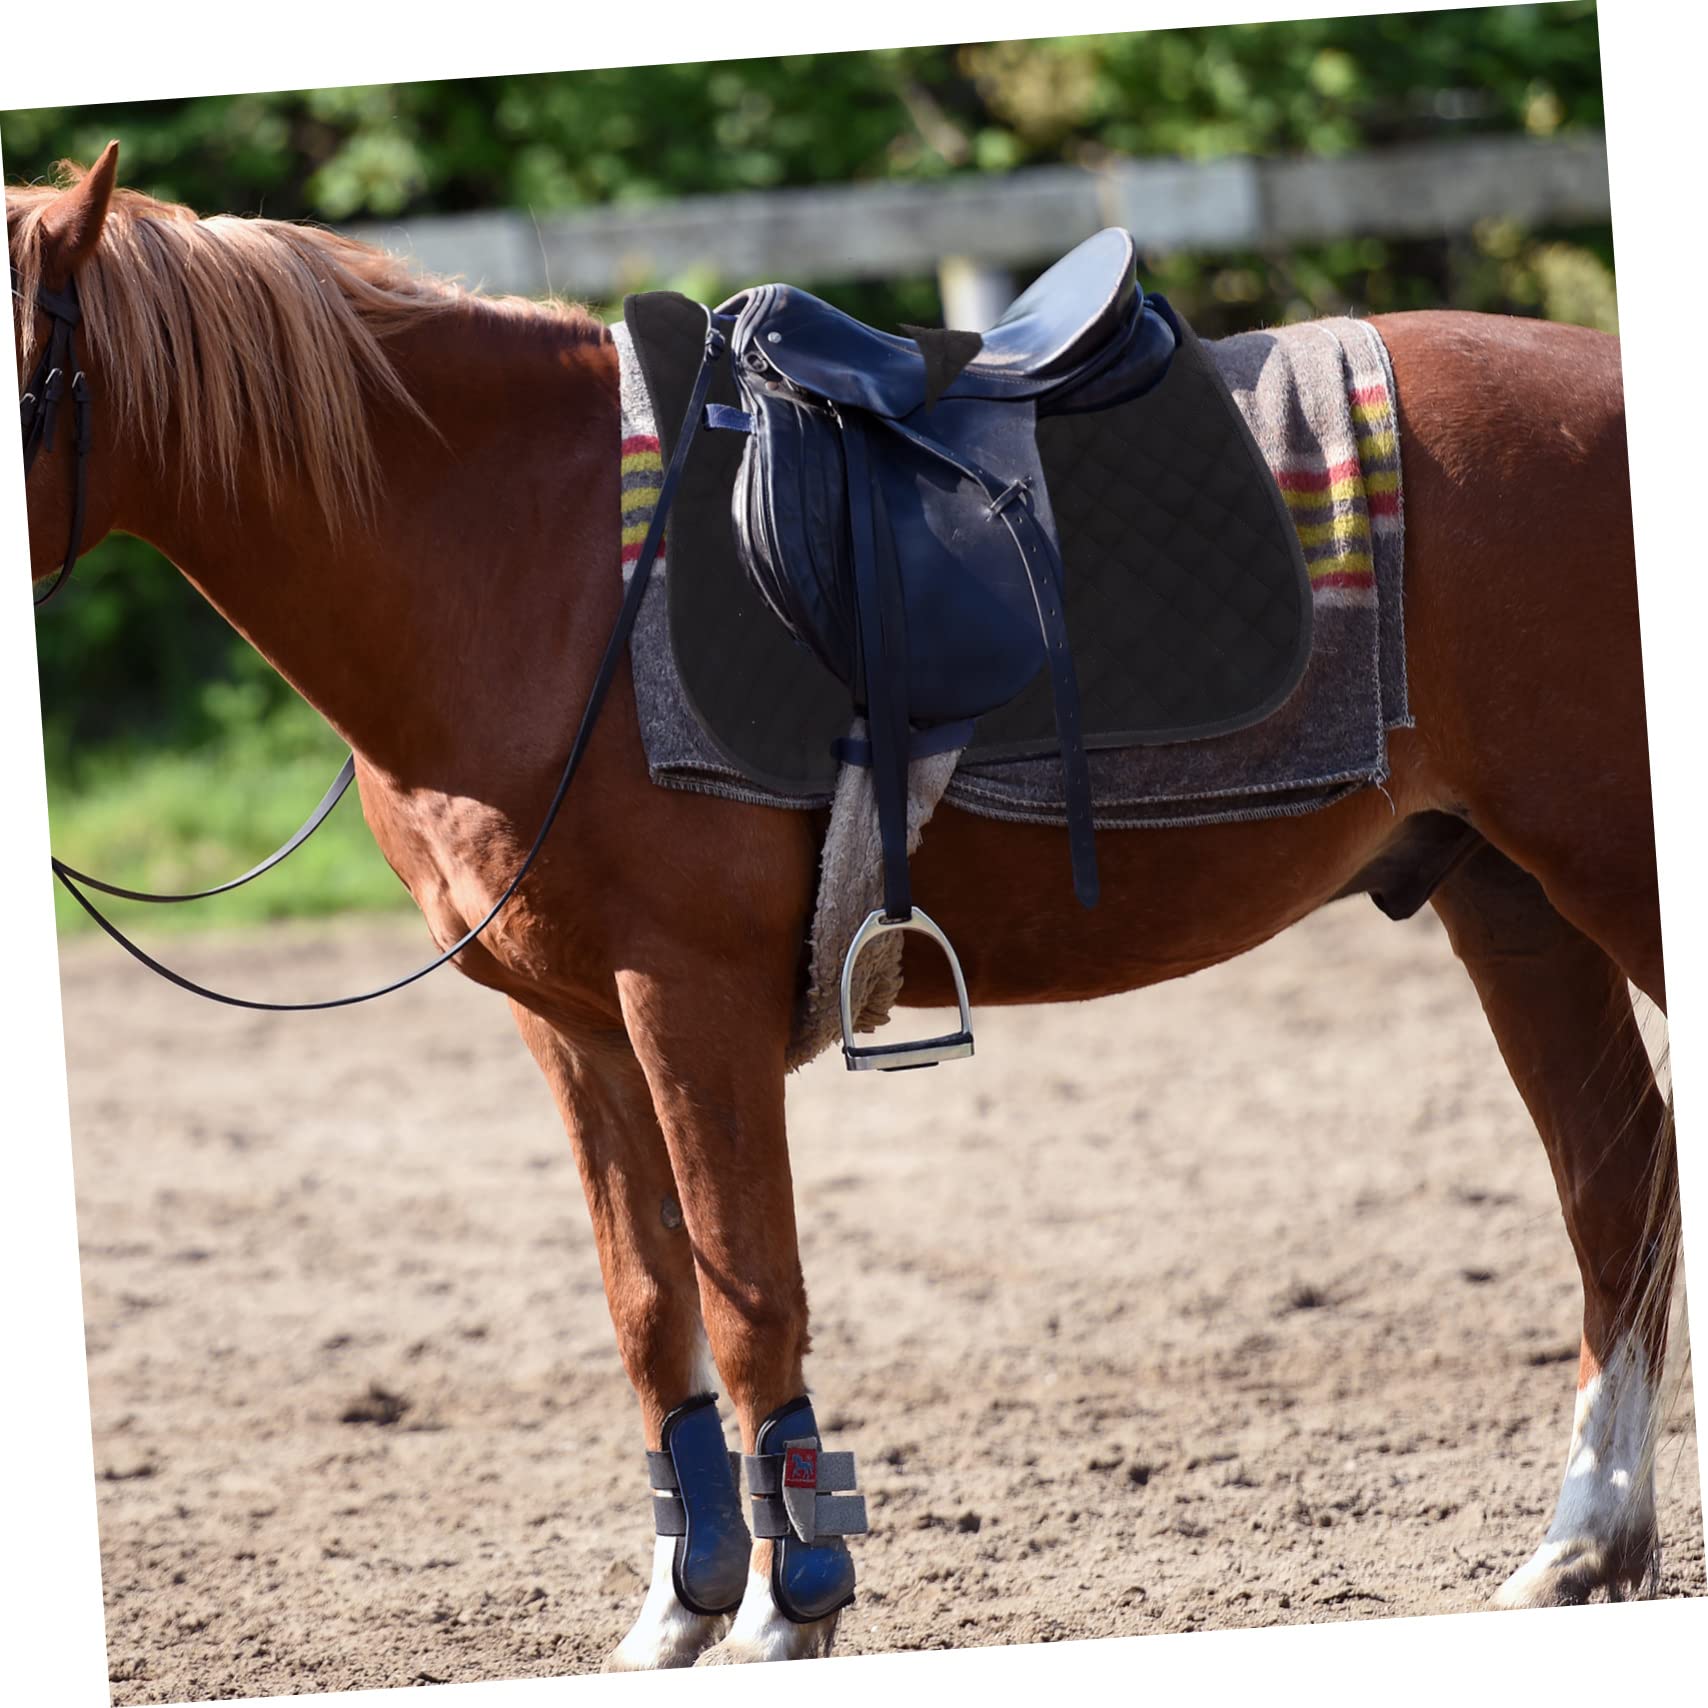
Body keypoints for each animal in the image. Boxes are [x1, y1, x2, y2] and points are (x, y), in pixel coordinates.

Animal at [9, 145, 1681, 1667]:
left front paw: (787, 1603)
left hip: (1610, 873)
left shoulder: (685, 1000)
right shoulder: (569, 1025)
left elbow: (750, 1295)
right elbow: (649, 1304)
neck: (522, 557)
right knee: (1615, 1180)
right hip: (1507, 896)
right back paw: (1580, 1545)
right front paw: (677, 1608)